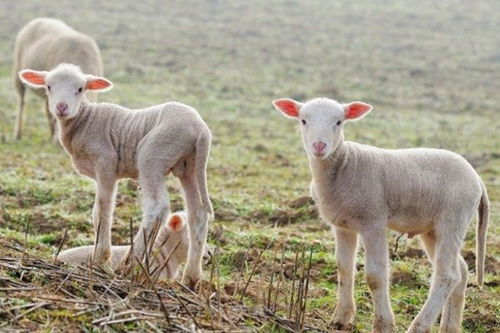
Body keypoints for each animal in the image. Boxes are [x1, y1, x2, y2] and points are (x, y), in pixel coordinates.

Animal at [274, 96, 488, 332]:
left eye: (339, 122)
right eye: (303, 121)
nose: (319, 146)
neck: (344, 163)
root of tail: (477, 178)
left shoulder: (373, 222)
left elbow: (375, 275)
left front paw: (383, 323)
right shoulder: (343, 226)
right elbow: (344, 268)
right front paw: (341, 318)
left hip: (453, 219)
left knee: (447, 275)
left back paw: (419, 325)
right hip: (432, 230)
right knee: (460, 272)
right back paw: (449, 327)